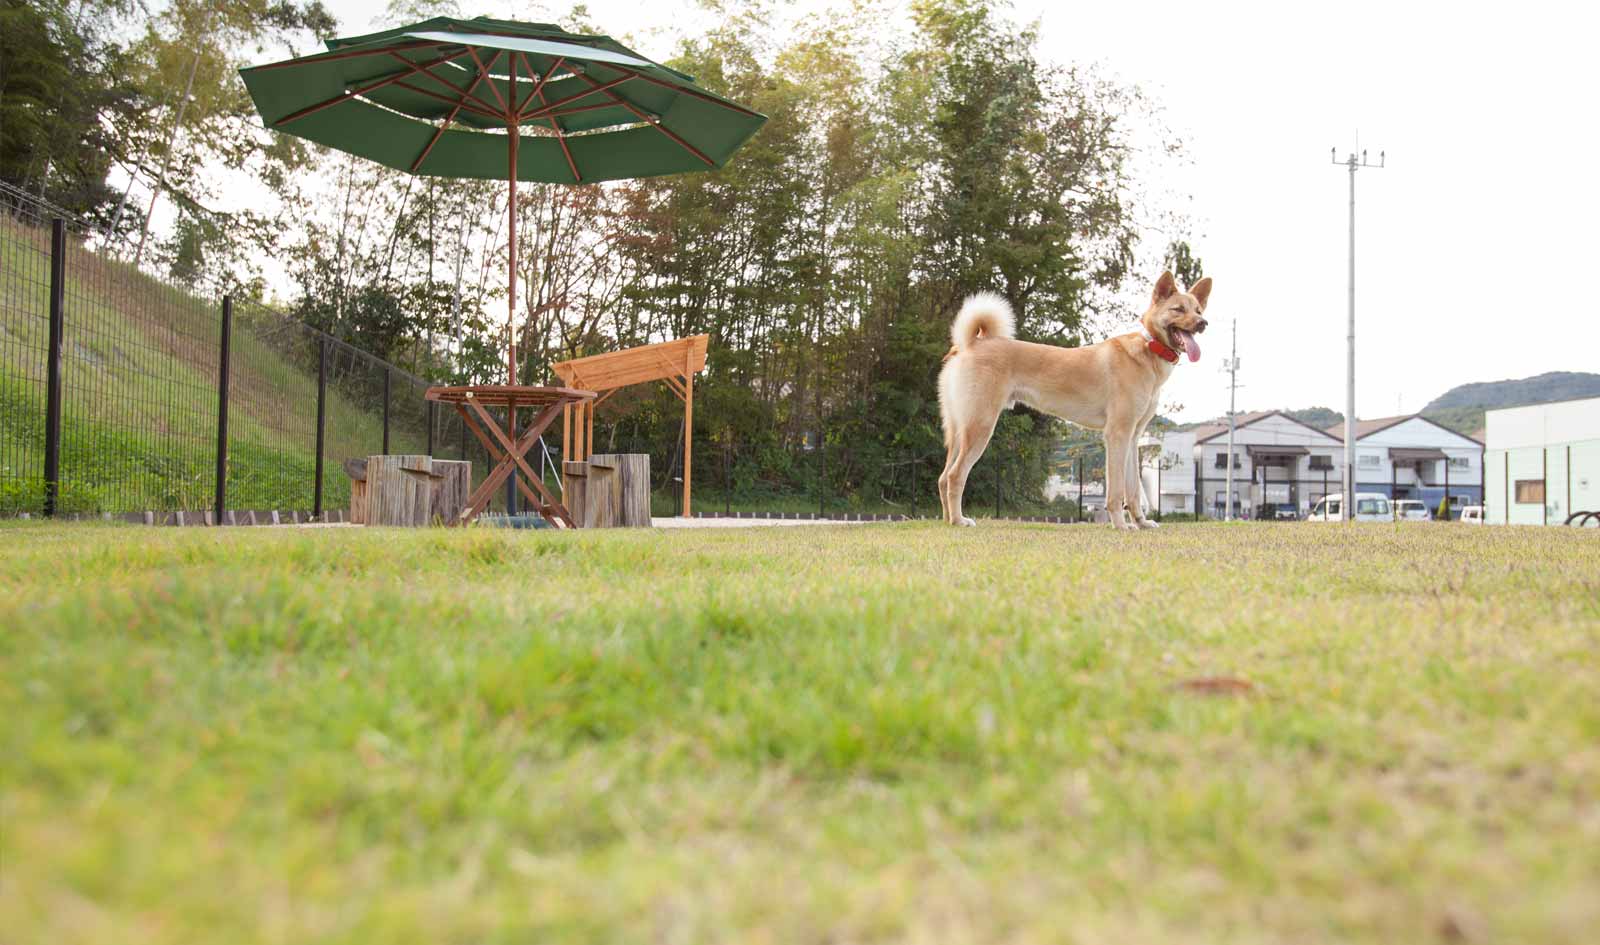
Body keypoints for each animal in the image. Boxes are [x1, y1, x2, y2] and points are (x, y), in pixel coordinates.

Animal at [934, 271, 1209, 530]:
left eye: (1198, 310)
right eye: (1178, 309)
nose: (1203, 323)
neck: (1148, 348)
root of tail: (970, 344)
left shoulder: (1133, 437)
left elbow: (1133, 490)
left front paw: (1140, 523)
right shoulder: (1117, 435)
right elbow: (1117, 491)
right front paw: (1120, 525)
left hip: (959, 430)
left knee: (943, 477)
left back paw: (948, 520)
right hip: (980, 426)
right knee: (956, 476)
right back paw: (959, 520)